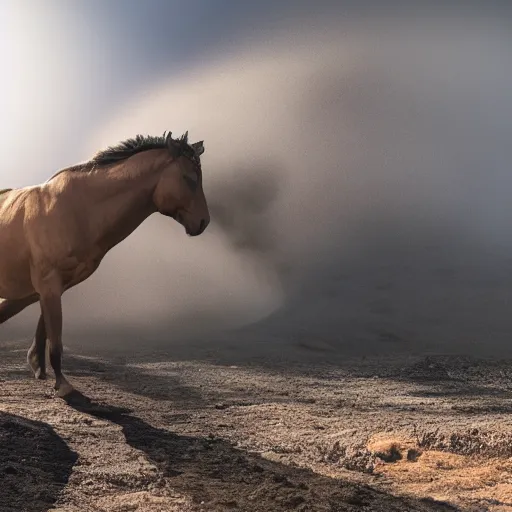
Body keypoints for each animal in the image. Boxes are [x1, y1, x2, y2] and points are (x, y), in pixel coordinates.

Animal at [0, 130, 210, 398]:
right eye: (189, 178)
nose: (204, 221)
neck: (76, 208)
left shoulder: (51, 286)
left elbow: (44, 327)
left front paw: (39, 366)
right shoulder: (47, 284)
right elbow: (54, 336)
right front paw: (63, 384)